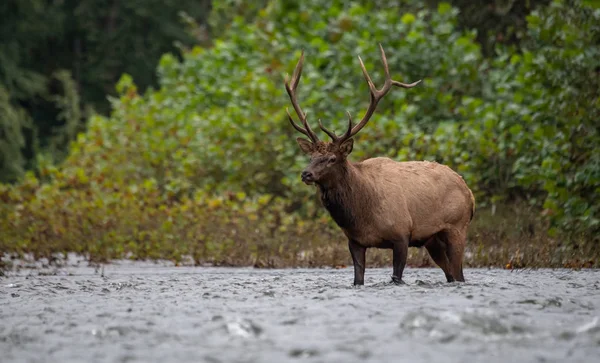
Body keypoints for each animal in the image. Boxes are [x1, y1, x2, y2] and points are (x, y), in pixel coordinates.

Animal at [284, 44, 476, 286]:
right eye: (311, 157)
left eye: (332, 159)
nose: (306, 174)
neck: (361, 215)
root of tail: (469, 192)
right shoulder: (355, 241)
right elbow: (358, 278)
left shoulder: (402, 234)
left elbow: (396, 276)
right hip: (432, 240)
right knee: (451, 273)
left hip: (457, 227)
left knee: (459, 273)